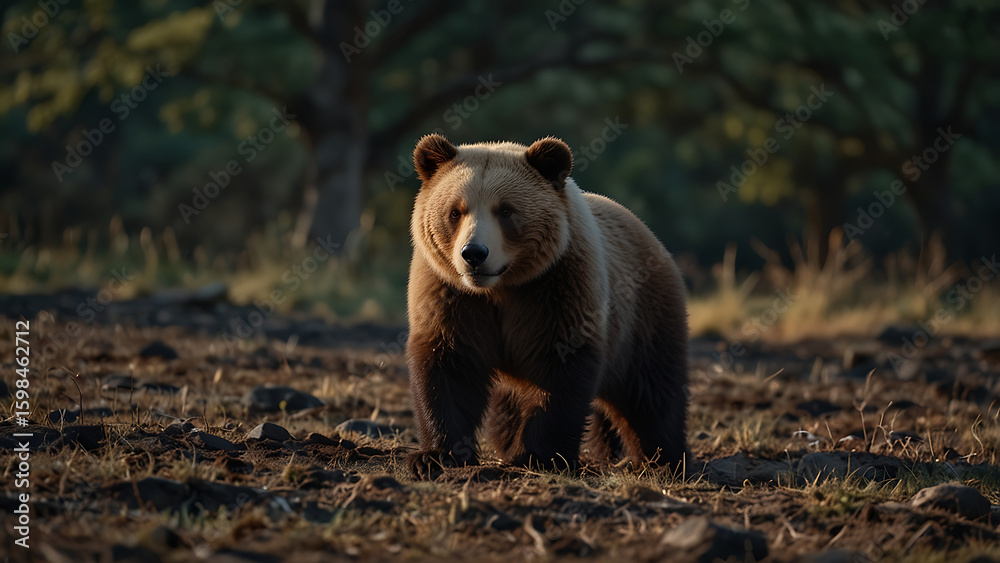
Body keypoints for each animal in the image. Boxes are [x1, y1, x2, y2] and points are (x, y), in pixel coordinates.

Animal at [405, 133, 688, 478]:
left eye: (506, 210)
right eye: (455, 211)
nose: (474, 254)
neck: (501, 288)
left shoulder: (557, 288)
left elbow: (560, 368)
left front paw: (537, 456)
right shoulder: (451, 294)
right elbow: (448, 364)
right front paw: (436, 455)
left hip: (643, 316)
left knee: (651, 394)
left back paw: (663, 458)